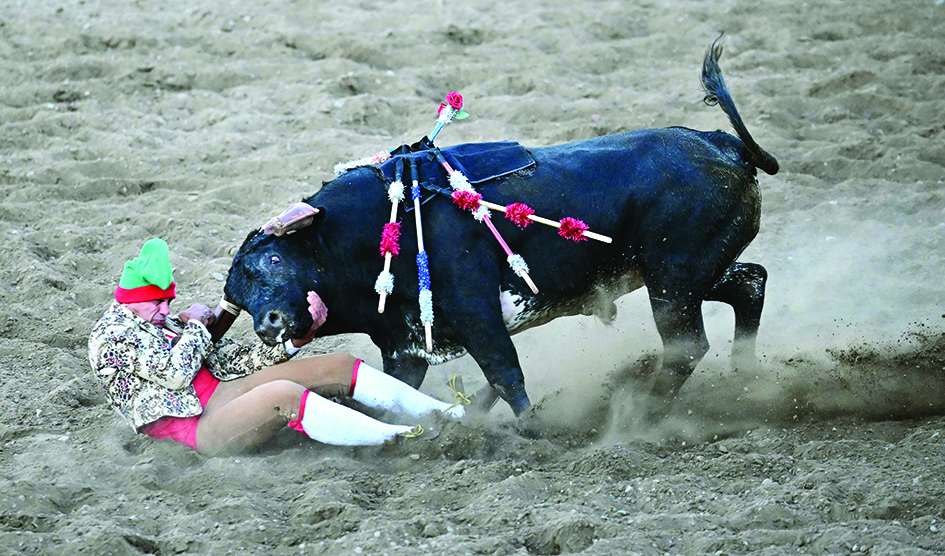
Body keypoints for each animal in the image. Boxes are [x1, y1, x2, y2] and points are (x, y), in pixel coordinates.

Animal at [221, 40, 776, 422]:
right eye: (239, 298)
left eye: (273, 259)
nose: (269, 323)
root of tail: (720, 143)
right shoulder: (405, 346)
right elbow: (401, 396)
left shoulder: (477, 313)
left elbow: (506, 375)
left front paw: (529, 434)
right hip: (685, 273)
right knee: (750, 283)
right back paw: (745, 380)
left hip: (673, 281)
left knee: (688, 348)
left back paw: (644, 413)